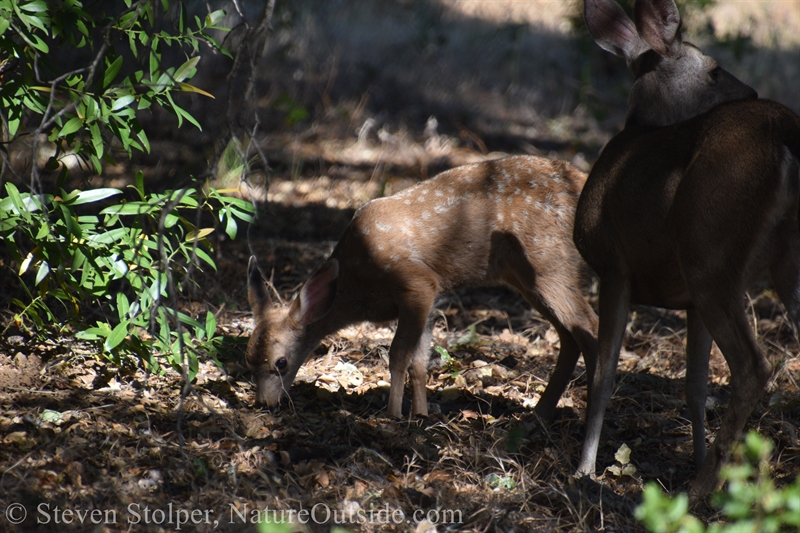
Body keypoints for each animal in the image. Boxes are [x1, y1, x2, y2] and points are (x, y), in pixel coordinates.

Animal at [247, 154, 596, 420]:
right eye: (248, 359)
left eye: (281, 362)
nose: (264, 403)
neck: (359, 285)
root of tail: (581, 182)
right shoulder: (429, 299)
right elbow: (419, 361)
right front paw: (421, 414)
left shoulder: (416, 282)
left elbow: (399, 354)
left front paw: (393, 414)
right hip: (527, 276)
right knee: (570, 336)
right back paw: (540, 413)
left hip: (549, 261)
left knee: (589, 327)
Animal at [576, 0, 800, 498]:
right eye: (715, 71)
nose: (751, 91)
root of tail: (785, 135)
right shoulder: (686, 301)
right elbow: (695, 386)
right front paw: (694, 455)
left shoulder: (613, 265)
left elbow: (604, 374)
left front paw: (583, 469)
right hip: (771, 264)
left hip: (709, 250)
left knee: (753, 367)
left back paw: (703, 486)